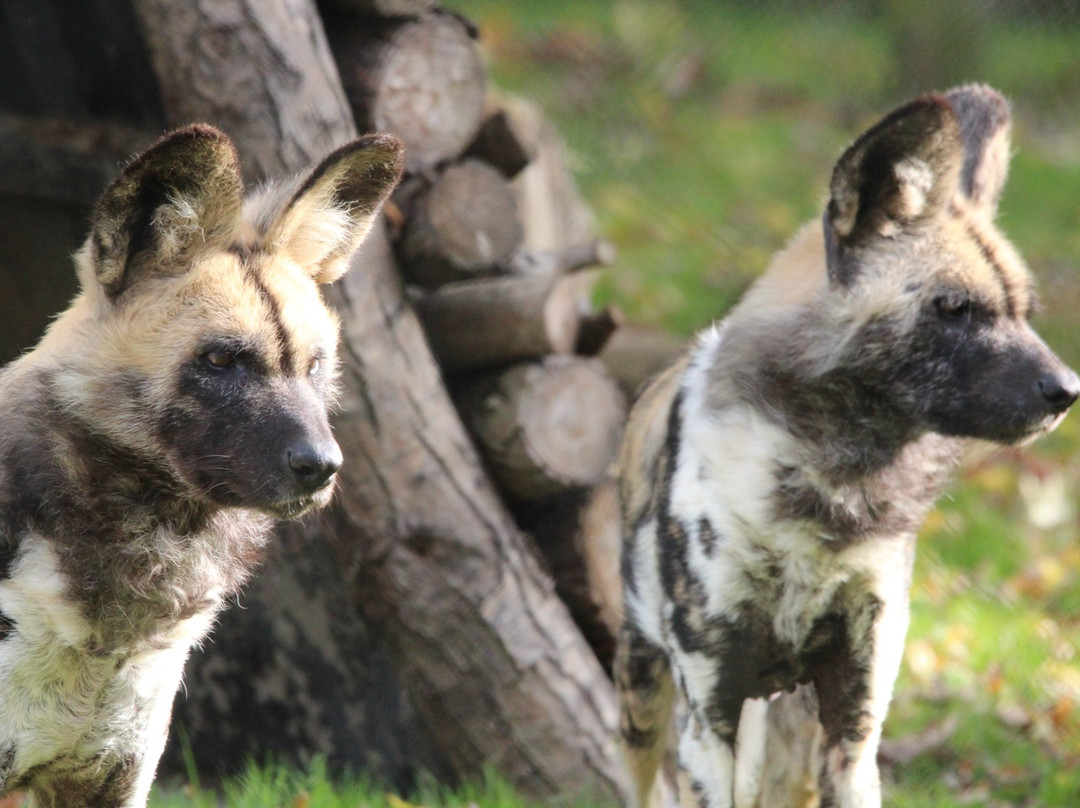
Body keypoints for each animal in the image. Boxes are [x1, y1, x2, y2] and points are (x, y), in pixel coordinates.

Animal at [617, 83, 1080, 808]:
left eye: (1023, 313)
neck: (831, 477)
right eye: (954, 308)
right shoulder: (710, 718)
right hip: (645, 698)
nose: (1068, 389)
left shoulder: (853, 726)